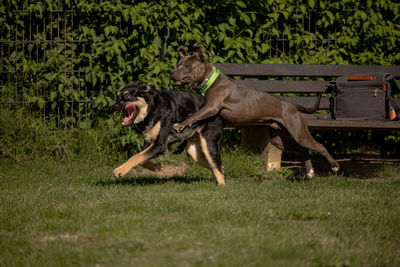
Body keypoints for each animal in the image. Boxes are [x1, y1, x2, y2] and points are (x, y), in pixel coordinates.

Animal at [170, 43, 340, 178]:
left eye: (186, 66)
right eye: (178, 64)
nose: (172, 72)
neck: (209, 80)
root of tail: (292, 106)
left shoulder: (211, 108)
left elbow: (194, 116)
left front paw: (180, 125)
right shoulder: (210, 114)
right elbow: (195, 123)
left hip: (299, 132)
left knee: (319, 146)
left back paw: (334, 166)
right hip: (279, 139)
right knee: (303, 150)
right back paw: (310, 172)